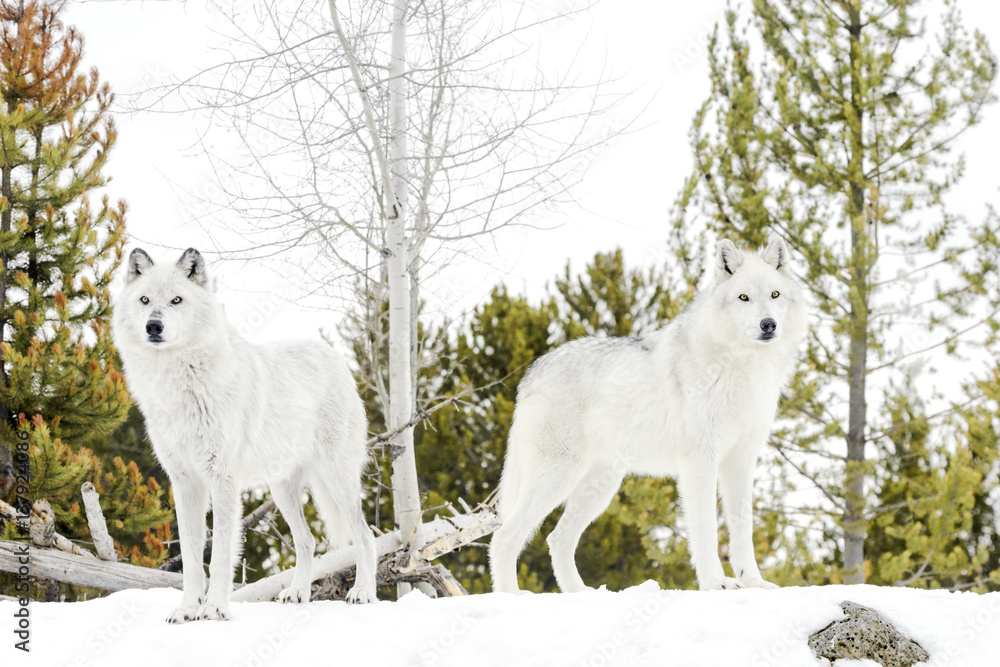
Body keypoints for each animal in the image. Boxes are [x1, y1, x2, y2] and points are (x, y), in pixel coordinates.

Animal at [112, 248, 377, 622]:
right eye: (144, 300)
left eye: (177, 300)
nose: (153, 326)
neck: (181, 385)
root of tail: (336, 358)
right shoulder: (185, 483)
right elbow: (191, 557)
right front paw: (186, 610)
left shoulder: (222, 480)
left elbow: (221, 555)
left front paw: (214, 609)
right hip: (282, 491)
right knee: (308, 541)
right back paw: (297, 592)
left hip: (336, 481)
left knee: (366, 536)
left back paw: (363, 593)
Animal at [489, 236, 807, 593]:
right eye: (744, 298)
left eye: (774, 295)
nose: (768, 324)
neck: (741, 368)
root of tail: (532, 372)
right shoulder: (701, 461)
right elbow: (706, 528)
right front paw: (716, 583)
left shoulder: (740, 460)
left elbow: (742, 527)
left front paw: (753, 582)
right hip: (557, 478)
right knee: (504, 538)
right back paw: (510, 597)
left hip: (599, 489)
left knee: (558, 540)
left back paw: (581, 594)